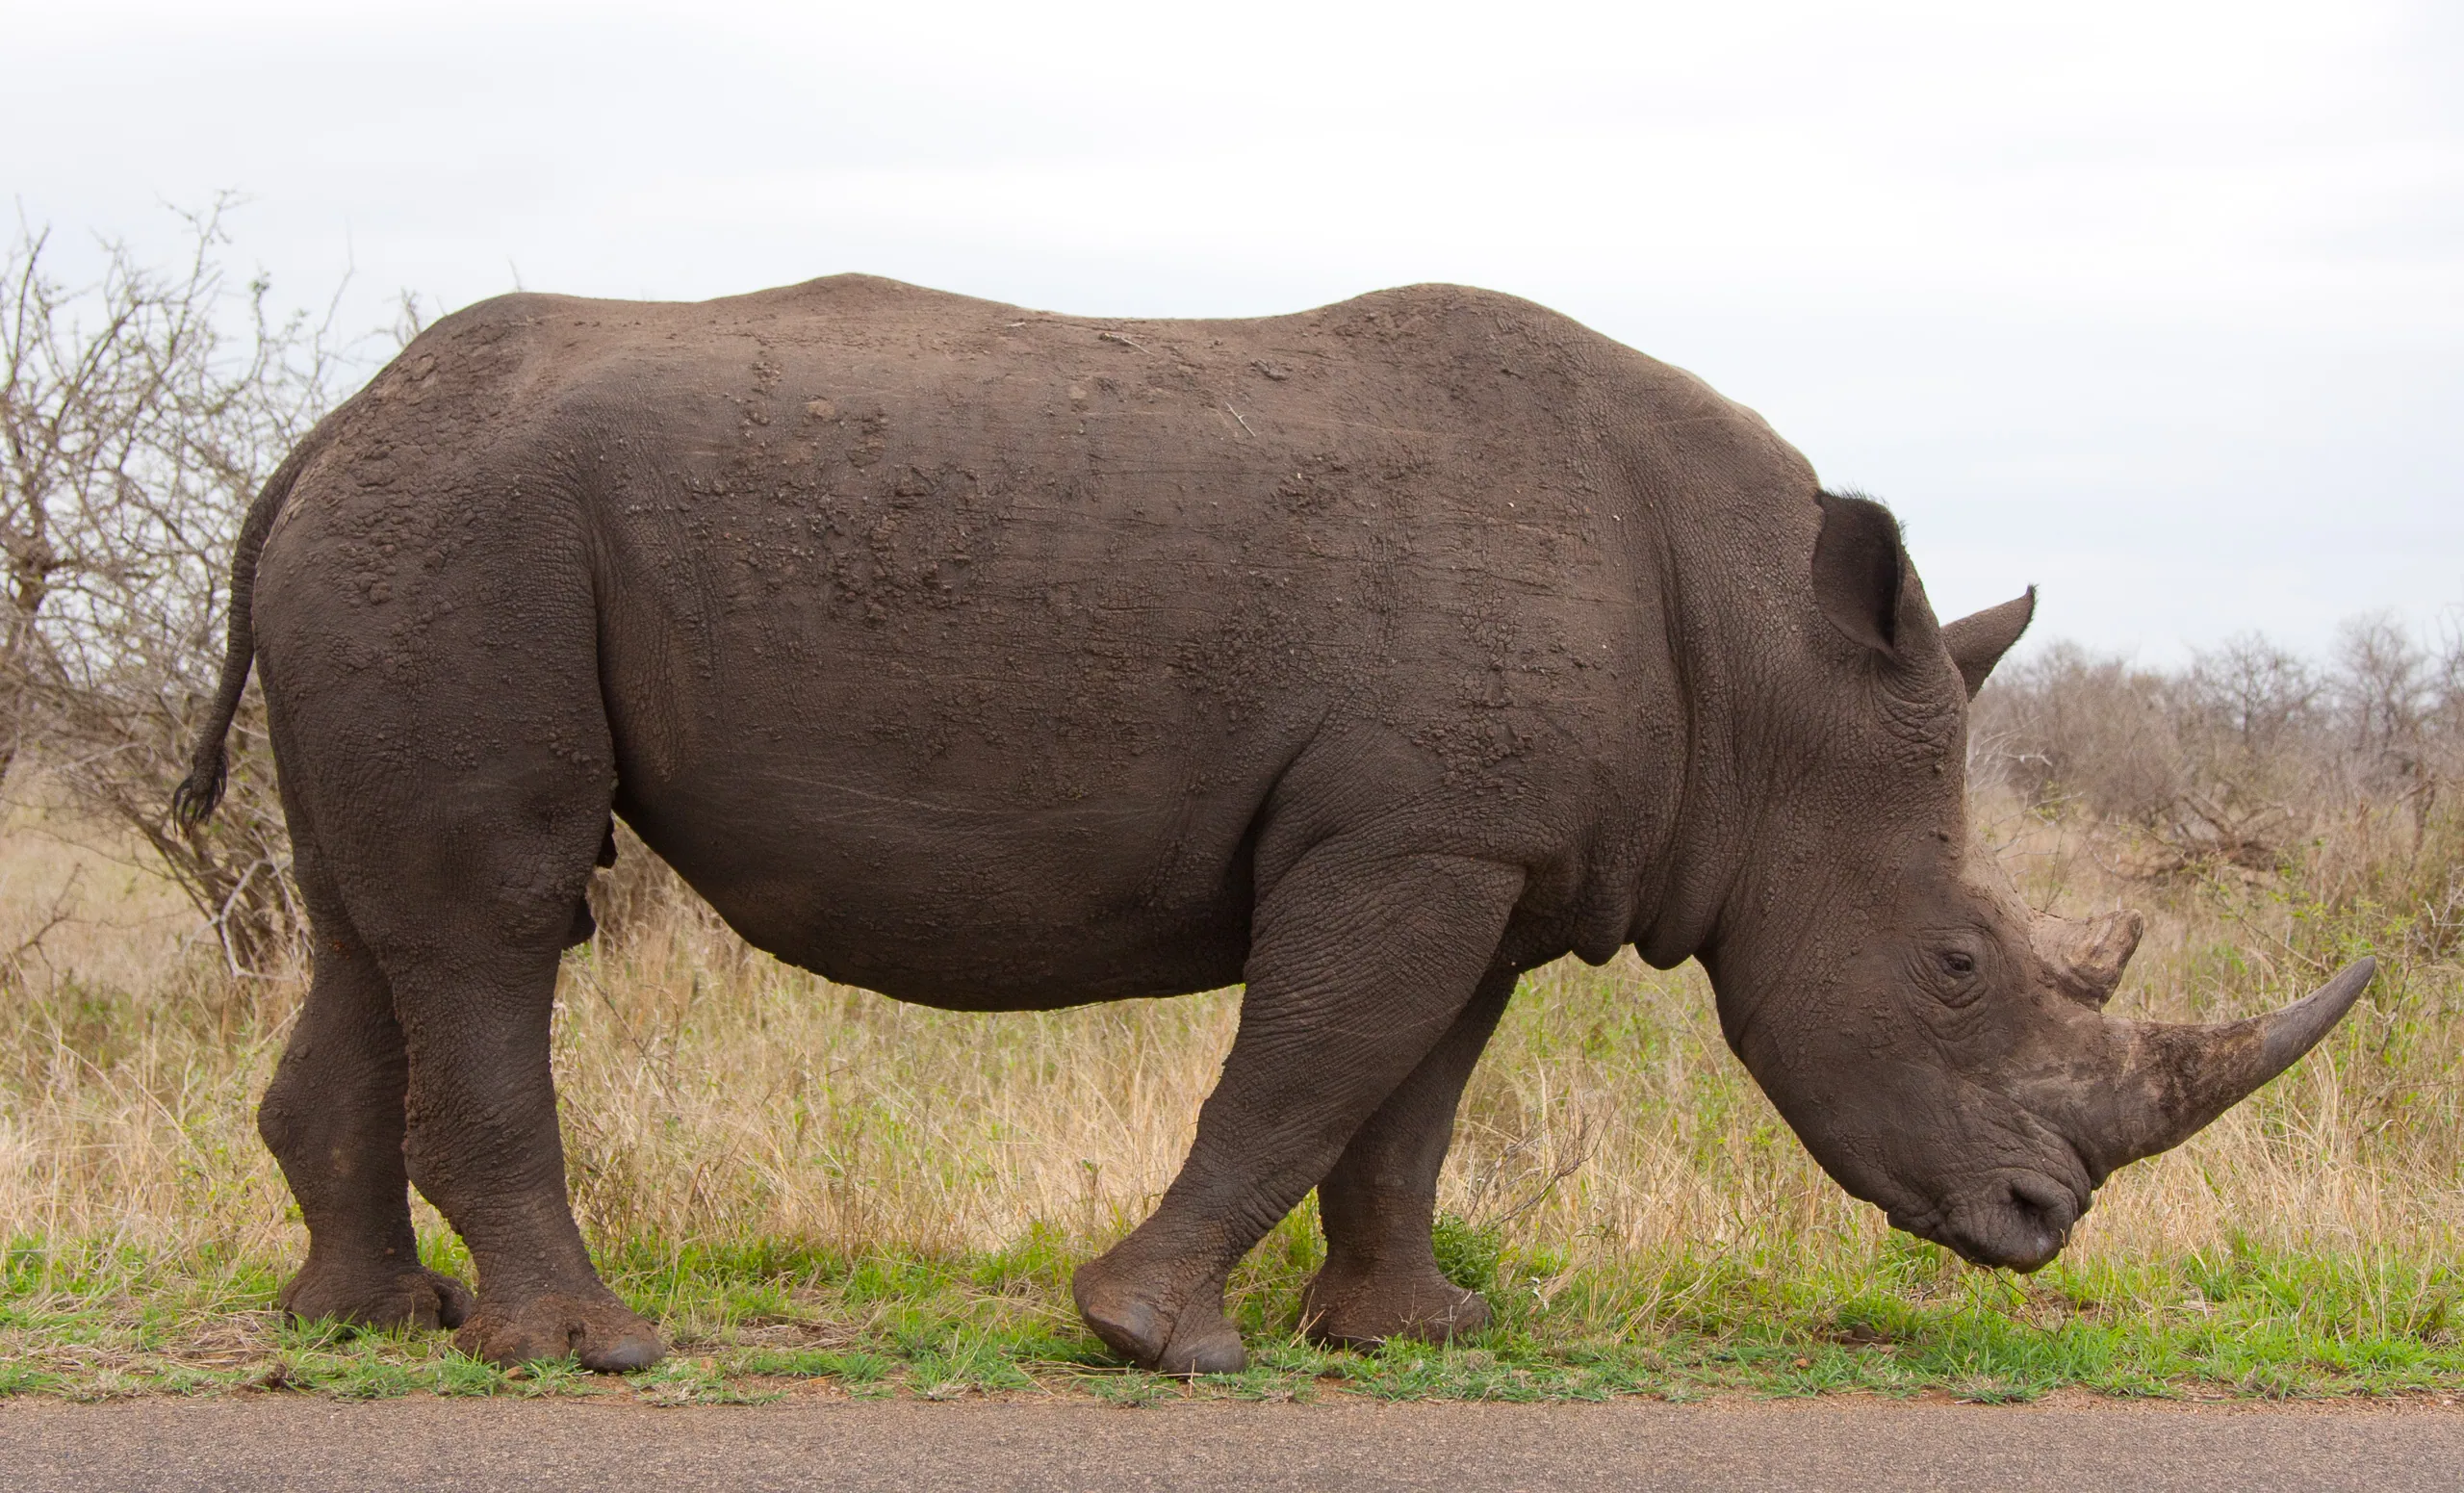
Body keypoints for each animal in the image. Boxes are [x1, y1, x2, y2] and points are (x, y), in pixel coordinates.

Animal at [175, 276, 2371, 1375]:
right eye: (1958, 963)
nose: (2041, 1227)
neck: (1767, 677)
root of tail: (322, 434)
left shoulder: (1486, 853)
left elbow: (1407, 1102)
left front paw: (1412, 1335)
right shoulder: (1408, 842)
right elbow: (1305, 1066)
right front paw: (1154, 1340)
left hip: (420, 541)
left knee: (384, 916)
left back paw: (370, 1324)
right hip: (474, 535)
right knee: (499, 911)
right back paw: (586, 1353)